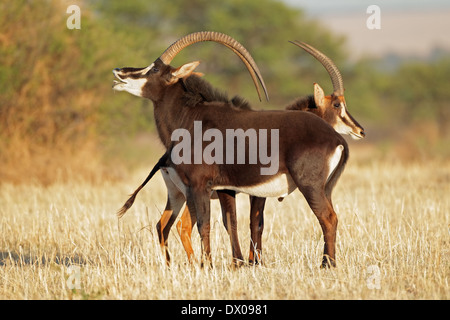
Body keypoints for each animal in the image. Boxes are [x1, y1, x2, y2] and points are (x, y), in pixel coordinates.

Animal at [114, 31, 364, 268]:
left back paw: (327, 264)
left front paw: (211, 266)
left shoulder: (202, 185)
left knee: (328, 218)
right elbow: (232, 222)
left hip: (309, 186)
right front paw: (239, 263)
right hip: (323, 188)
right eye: (337, 105)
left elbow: (209, 224)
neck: (191, 117)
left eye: (155, 68)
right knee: (166, 225)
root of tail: (335, 138)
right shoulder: (223, 188)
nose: (119, 71)